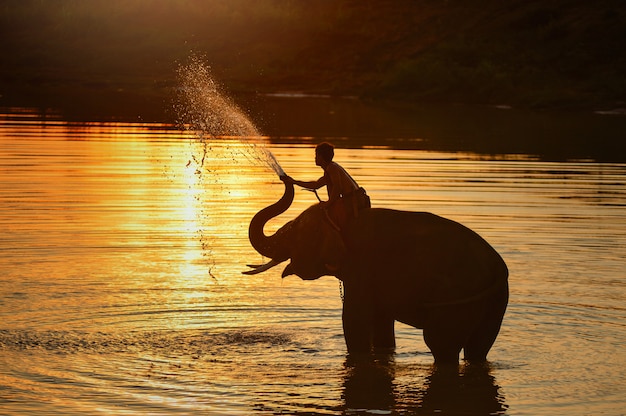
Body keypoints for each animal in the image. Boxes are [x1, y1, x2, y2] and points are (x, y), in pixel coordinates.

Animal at [244, 179, 508, 364]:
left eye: (293, 232)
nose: (284, 178)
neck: (340, 220)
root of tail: (499, 266)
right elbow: (381, 322)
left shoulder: (362, 267)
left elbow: (354, 319)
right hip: (495, 302)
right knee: (479, 347)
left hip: (458, 298)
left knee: (440, 343)